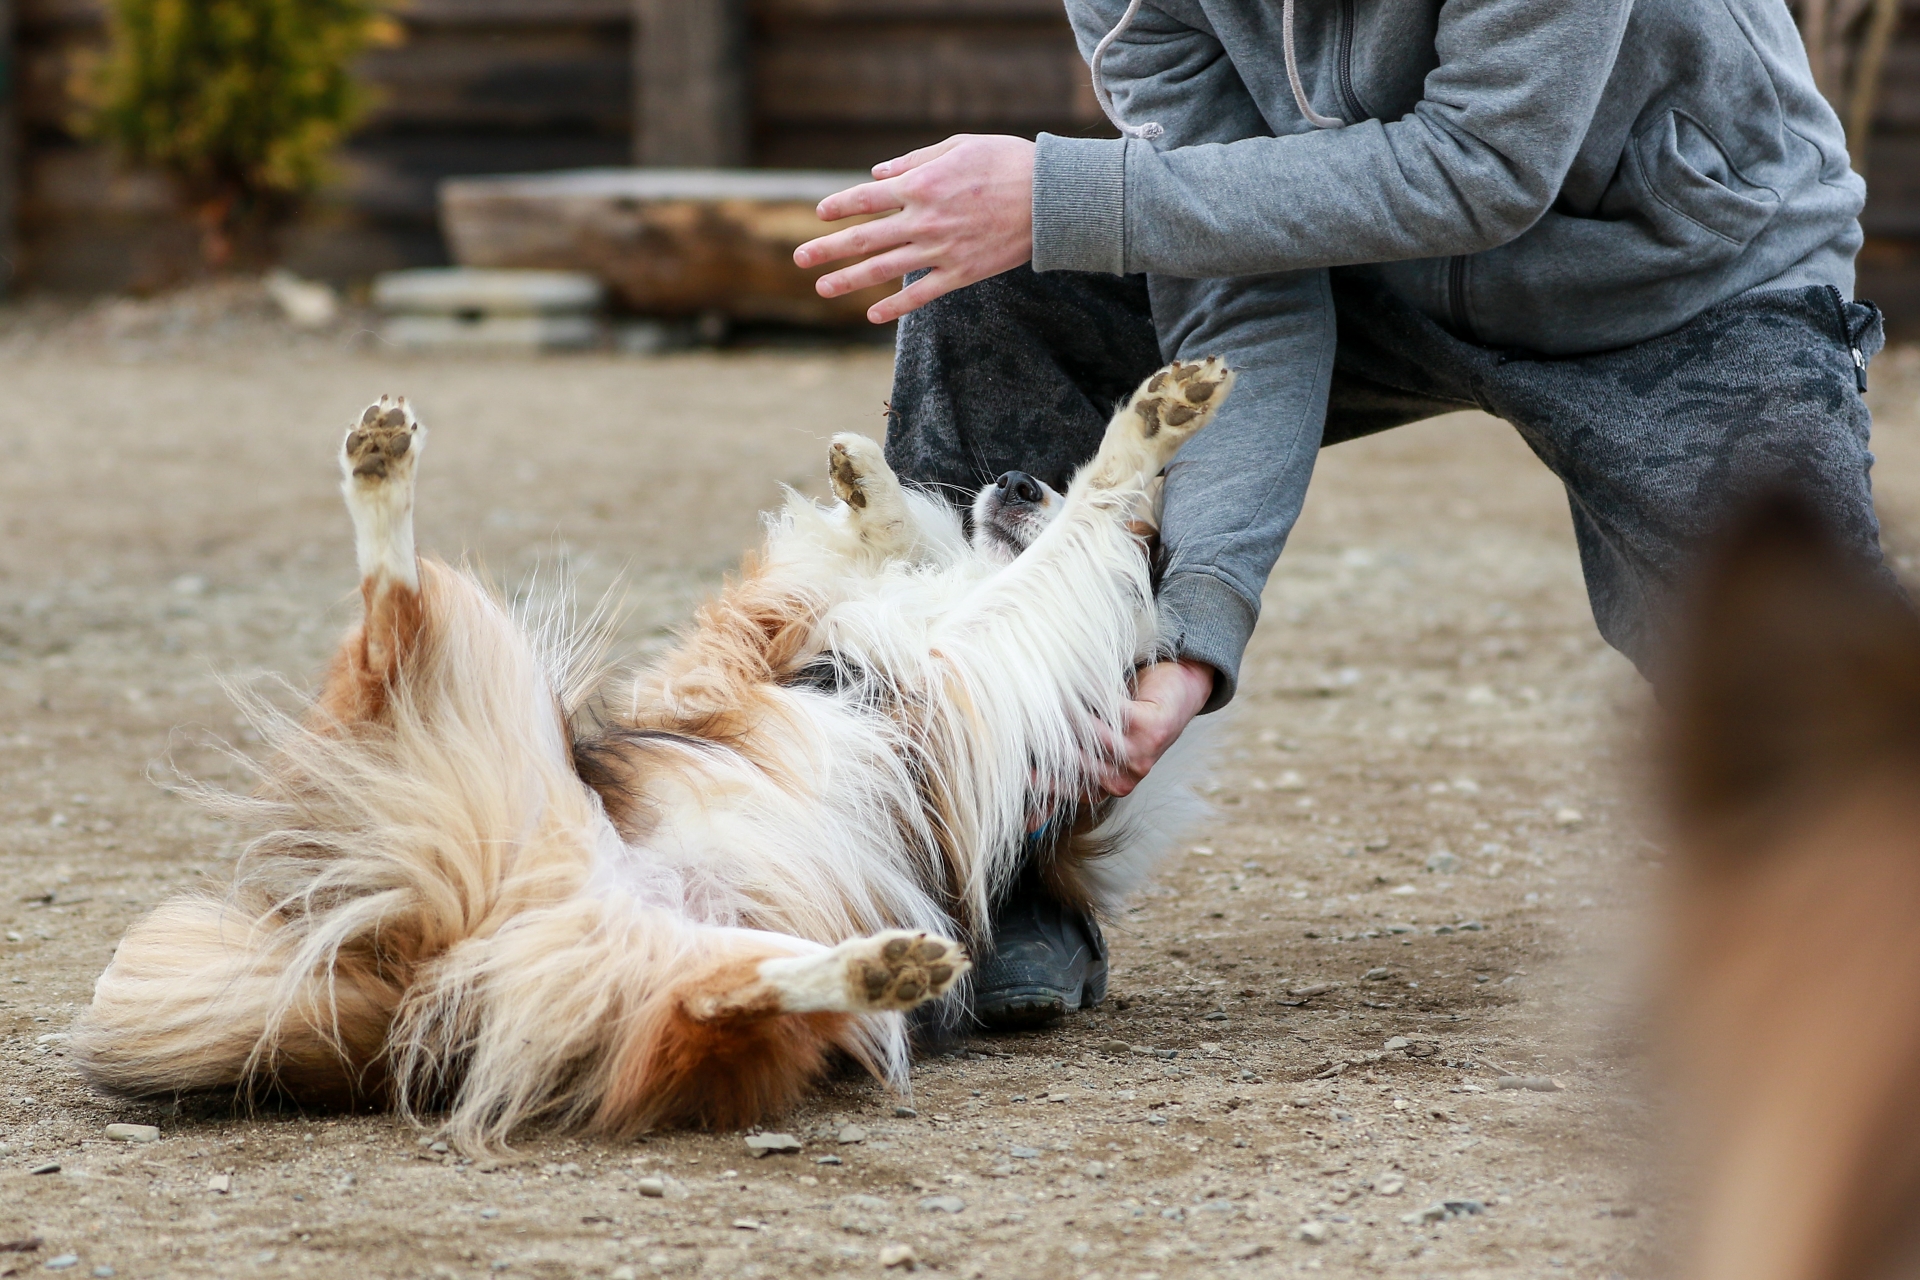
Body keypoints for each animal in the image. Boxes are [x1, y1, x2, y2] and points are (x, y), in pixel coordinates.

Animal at [71, 355, 1228, 1143]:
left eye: (1155, 548)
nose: (1021, 477)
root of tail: (435, 977)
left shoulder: (989, 671)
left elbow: (1074, 536)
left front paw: (1139, 441)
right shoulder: (748, 644)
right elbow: (887, 551)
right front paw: (873, 485)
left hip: (543, 815)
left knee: (716, 1001)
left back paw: (882, 967)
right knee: (393, 619)